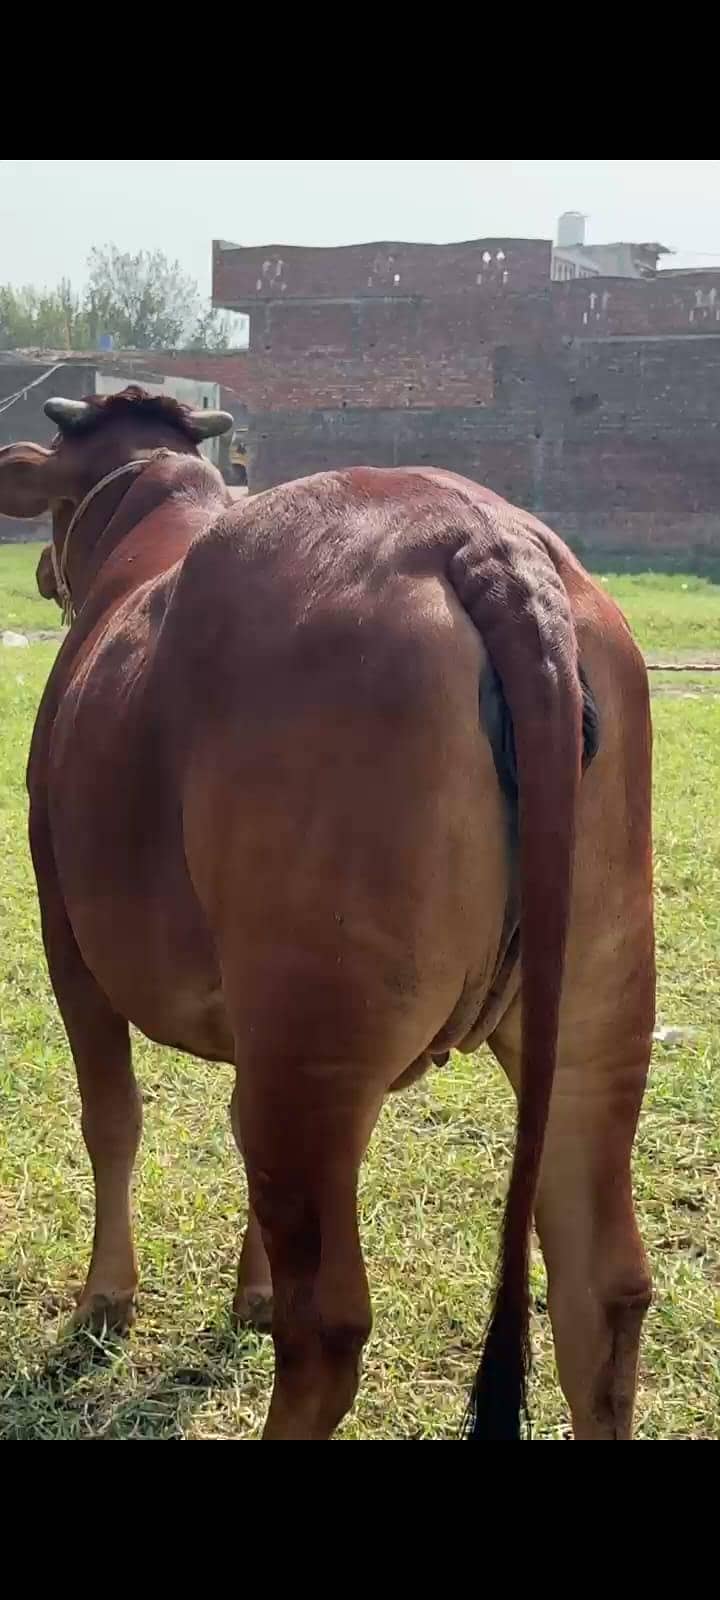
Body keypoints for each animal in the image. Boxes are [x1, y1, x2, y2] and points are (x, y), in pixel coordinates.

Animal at [0, 387, 655, 1440]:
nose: (40, 569)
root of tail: (485, 539)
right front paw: (249, 1289)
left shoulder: (68, 927)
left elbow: (112, 1118)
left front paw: (106, 1300)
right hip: (597, 1007)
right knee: (604, 1289)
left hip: (316, 1036)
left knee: (330, 1330)